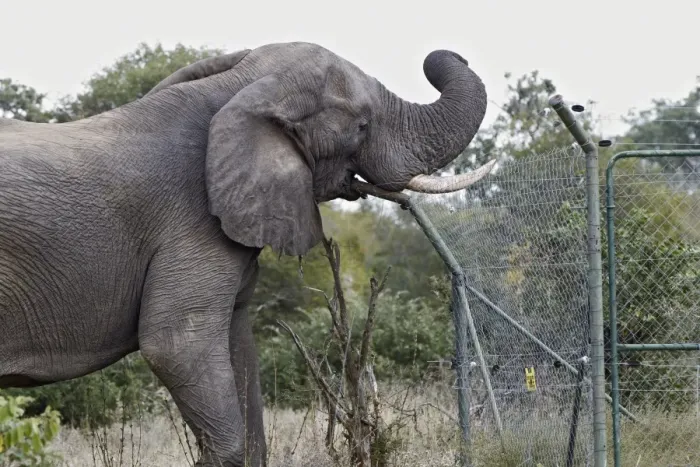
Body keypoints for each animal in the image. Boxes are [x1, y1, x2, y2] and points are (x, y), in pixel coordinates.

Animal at [0, 42, 491, 466]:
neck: (241, 88)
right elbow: (176, 343)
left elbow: (238, 349)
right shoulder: (191, 220)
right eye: (362, 125)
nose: (452, 54)